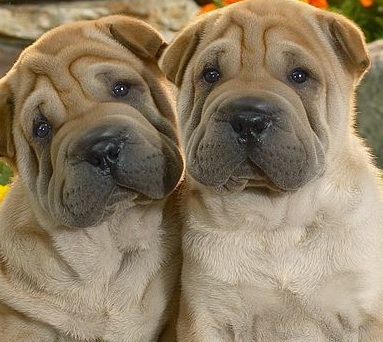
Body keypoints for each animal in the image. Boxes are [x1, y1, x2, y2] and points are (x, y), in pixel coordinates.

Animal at [160, 0, 383, 340]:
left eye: (299, 76)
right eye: (211, 74)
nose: (247, 119)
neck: (277, 223)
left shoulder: (367, 314)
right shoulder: (209, 316)